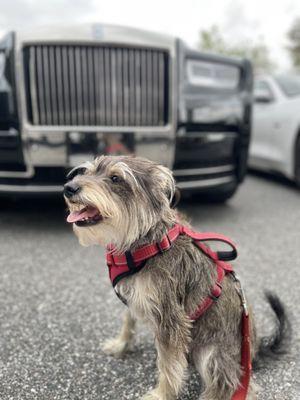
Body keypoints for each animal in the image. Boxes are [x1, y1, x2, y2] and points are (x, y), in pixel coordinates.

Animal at [63, 155, 290, 398]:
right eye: (87, 171)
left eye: (115, 178)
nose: (69, 188)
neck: (144, 241)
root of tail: (254, 353)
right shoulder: (135, 297)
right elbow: (128, 321)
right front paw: (120, 344)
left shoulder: (171, 319)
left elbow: (169, 366)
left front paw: (161, 394)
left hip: (213, 355)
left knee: (233, 384)